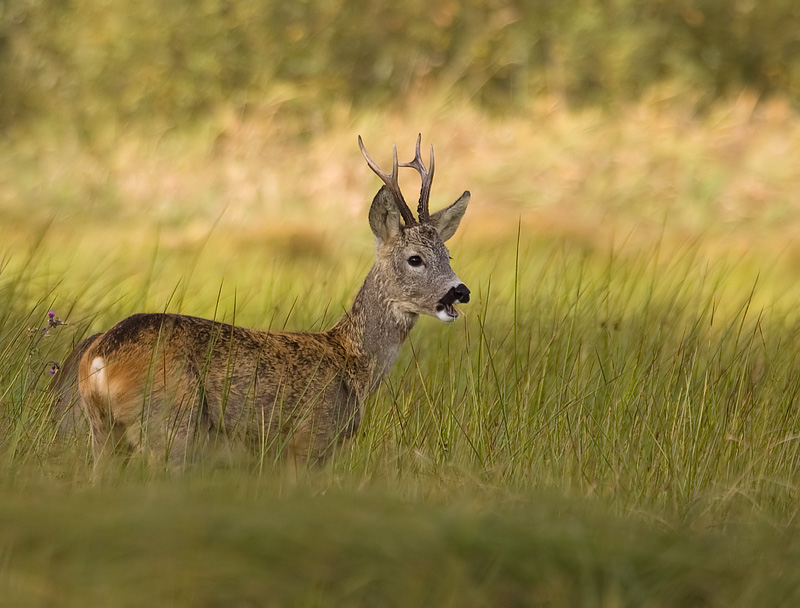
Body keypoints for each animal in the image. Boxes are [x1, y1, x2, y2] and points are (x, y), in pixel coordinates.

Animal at [74, 135, 468, 468]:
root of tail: (100, 359)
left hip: (104, 434)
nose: (460, 291)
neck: (352, 360)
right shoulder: (309, 441)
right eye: (415, 259)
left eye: (448, 254)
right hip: (170, 425)